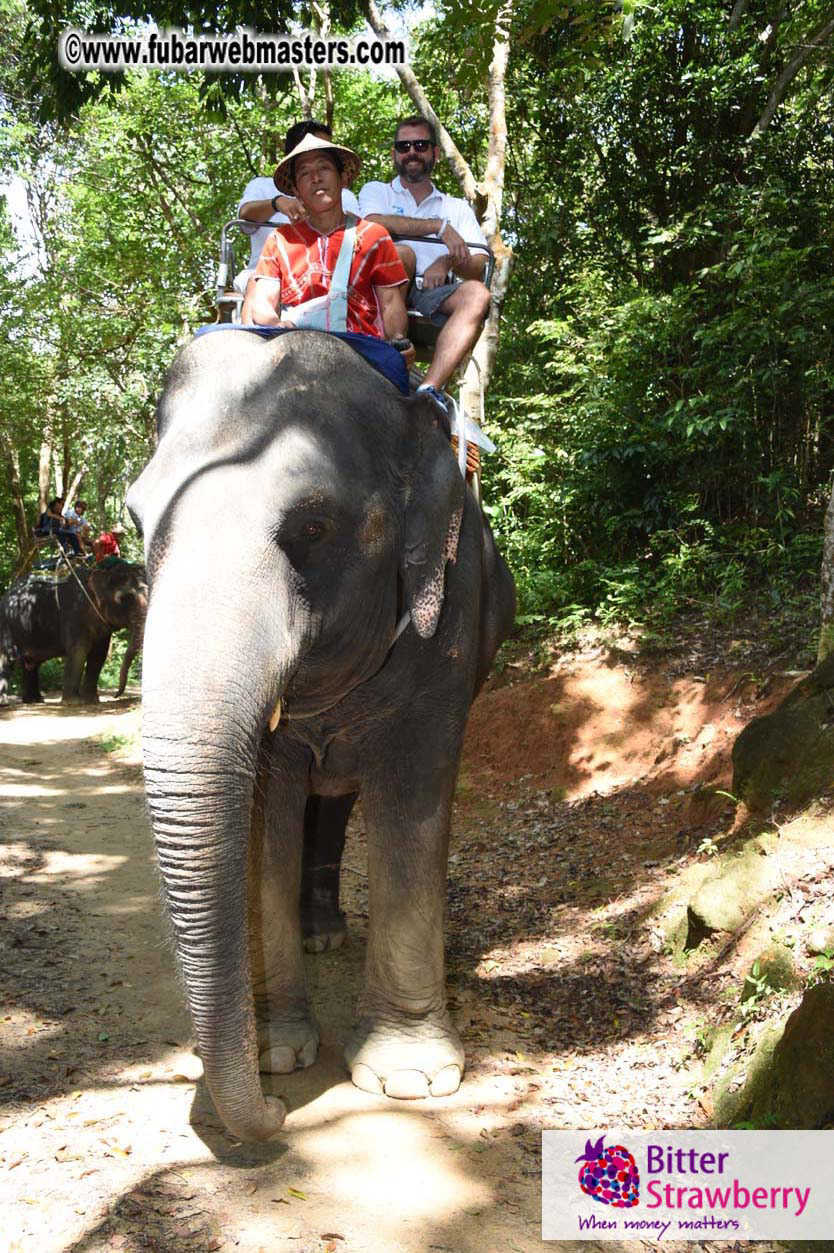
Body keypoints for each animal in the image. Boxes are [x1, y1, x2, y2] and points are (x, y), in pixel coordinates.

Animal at [0, 560, 148, 705]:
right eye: (126, 597)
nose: (115, 696)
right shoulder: (74, 613)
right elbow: (78, 651)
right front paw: (73, 702)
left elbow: (99, 655)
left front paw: (91, 700)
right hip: (6, 625)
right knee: (8, 657)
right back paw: (5, 703)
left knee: (32, 663)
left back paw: (34, 701)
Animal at [127, 329, 515, 1142]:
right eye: (138, 524)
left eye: (313, 527)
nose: (274, 1117)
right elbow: (267, 818)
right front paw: (278, 1056)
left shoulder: (449, 627)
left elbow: (412, 804)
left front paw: (408, 1079)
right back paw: (317, 935)